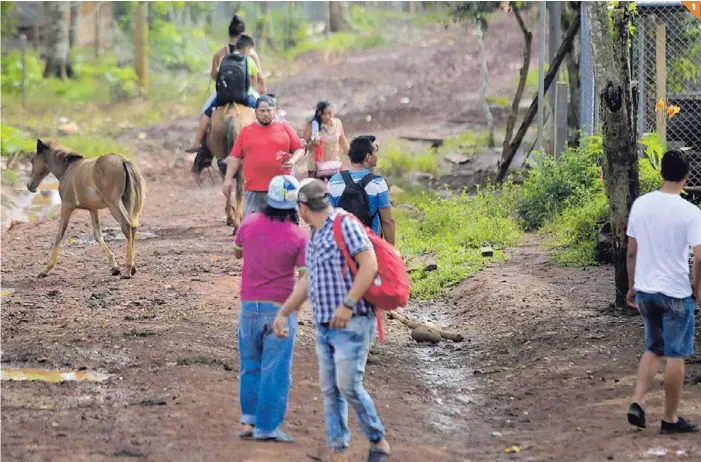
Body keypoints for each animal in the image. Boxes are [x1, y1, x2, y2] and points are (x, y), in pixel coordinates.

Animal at [27, 140, 146, 278]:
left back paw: (127, 270)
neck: (67, 169)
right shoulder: (93, 209)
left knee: (126, 226)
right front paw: (114, 267)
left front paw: (46, 269)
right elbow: (98, 235)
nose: (30, 186)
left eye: (32, 160)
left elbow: (59, 235)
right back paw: (132, 268)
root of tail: (122, 160)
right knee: (133, 227)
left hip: (113, 204)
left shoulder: (67, 206)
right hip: (127, 200)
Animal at [193, 103, 256, 233]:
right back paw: (236, 222)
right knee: (238, 189)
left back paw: (232, 218)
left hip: (222, 159)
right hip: (241, 163)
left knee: (228, 187)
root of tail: (232, 116)